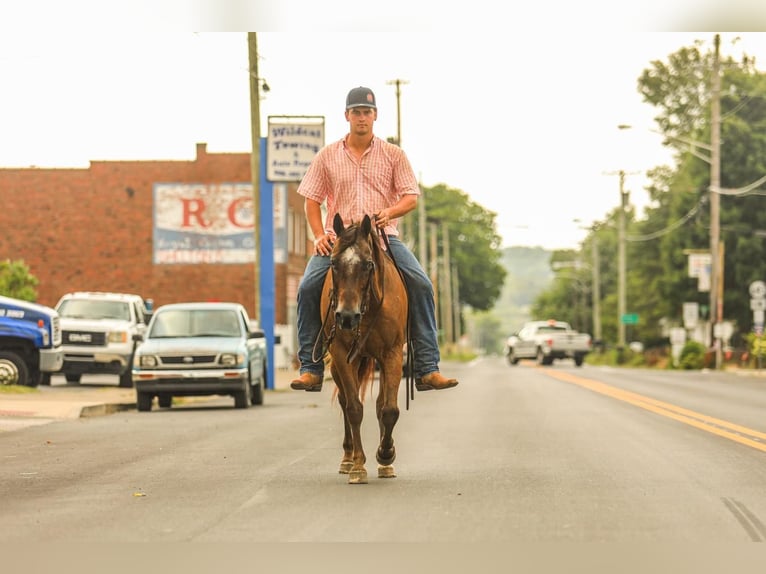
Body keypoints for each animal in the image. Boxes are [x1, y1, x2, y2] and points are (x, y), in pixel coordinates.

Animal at [318, 214, 412, 484]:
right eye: (333, 263)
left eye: (368, 265)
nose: (347, 317)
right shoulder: (342, 354)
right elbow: (354, 408)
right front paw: (359, 466)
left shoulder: (392, 354)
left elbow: (388, 409)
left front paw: (386, 454)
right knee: (343, 400)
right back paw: (348, 459)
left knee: (381, 403)